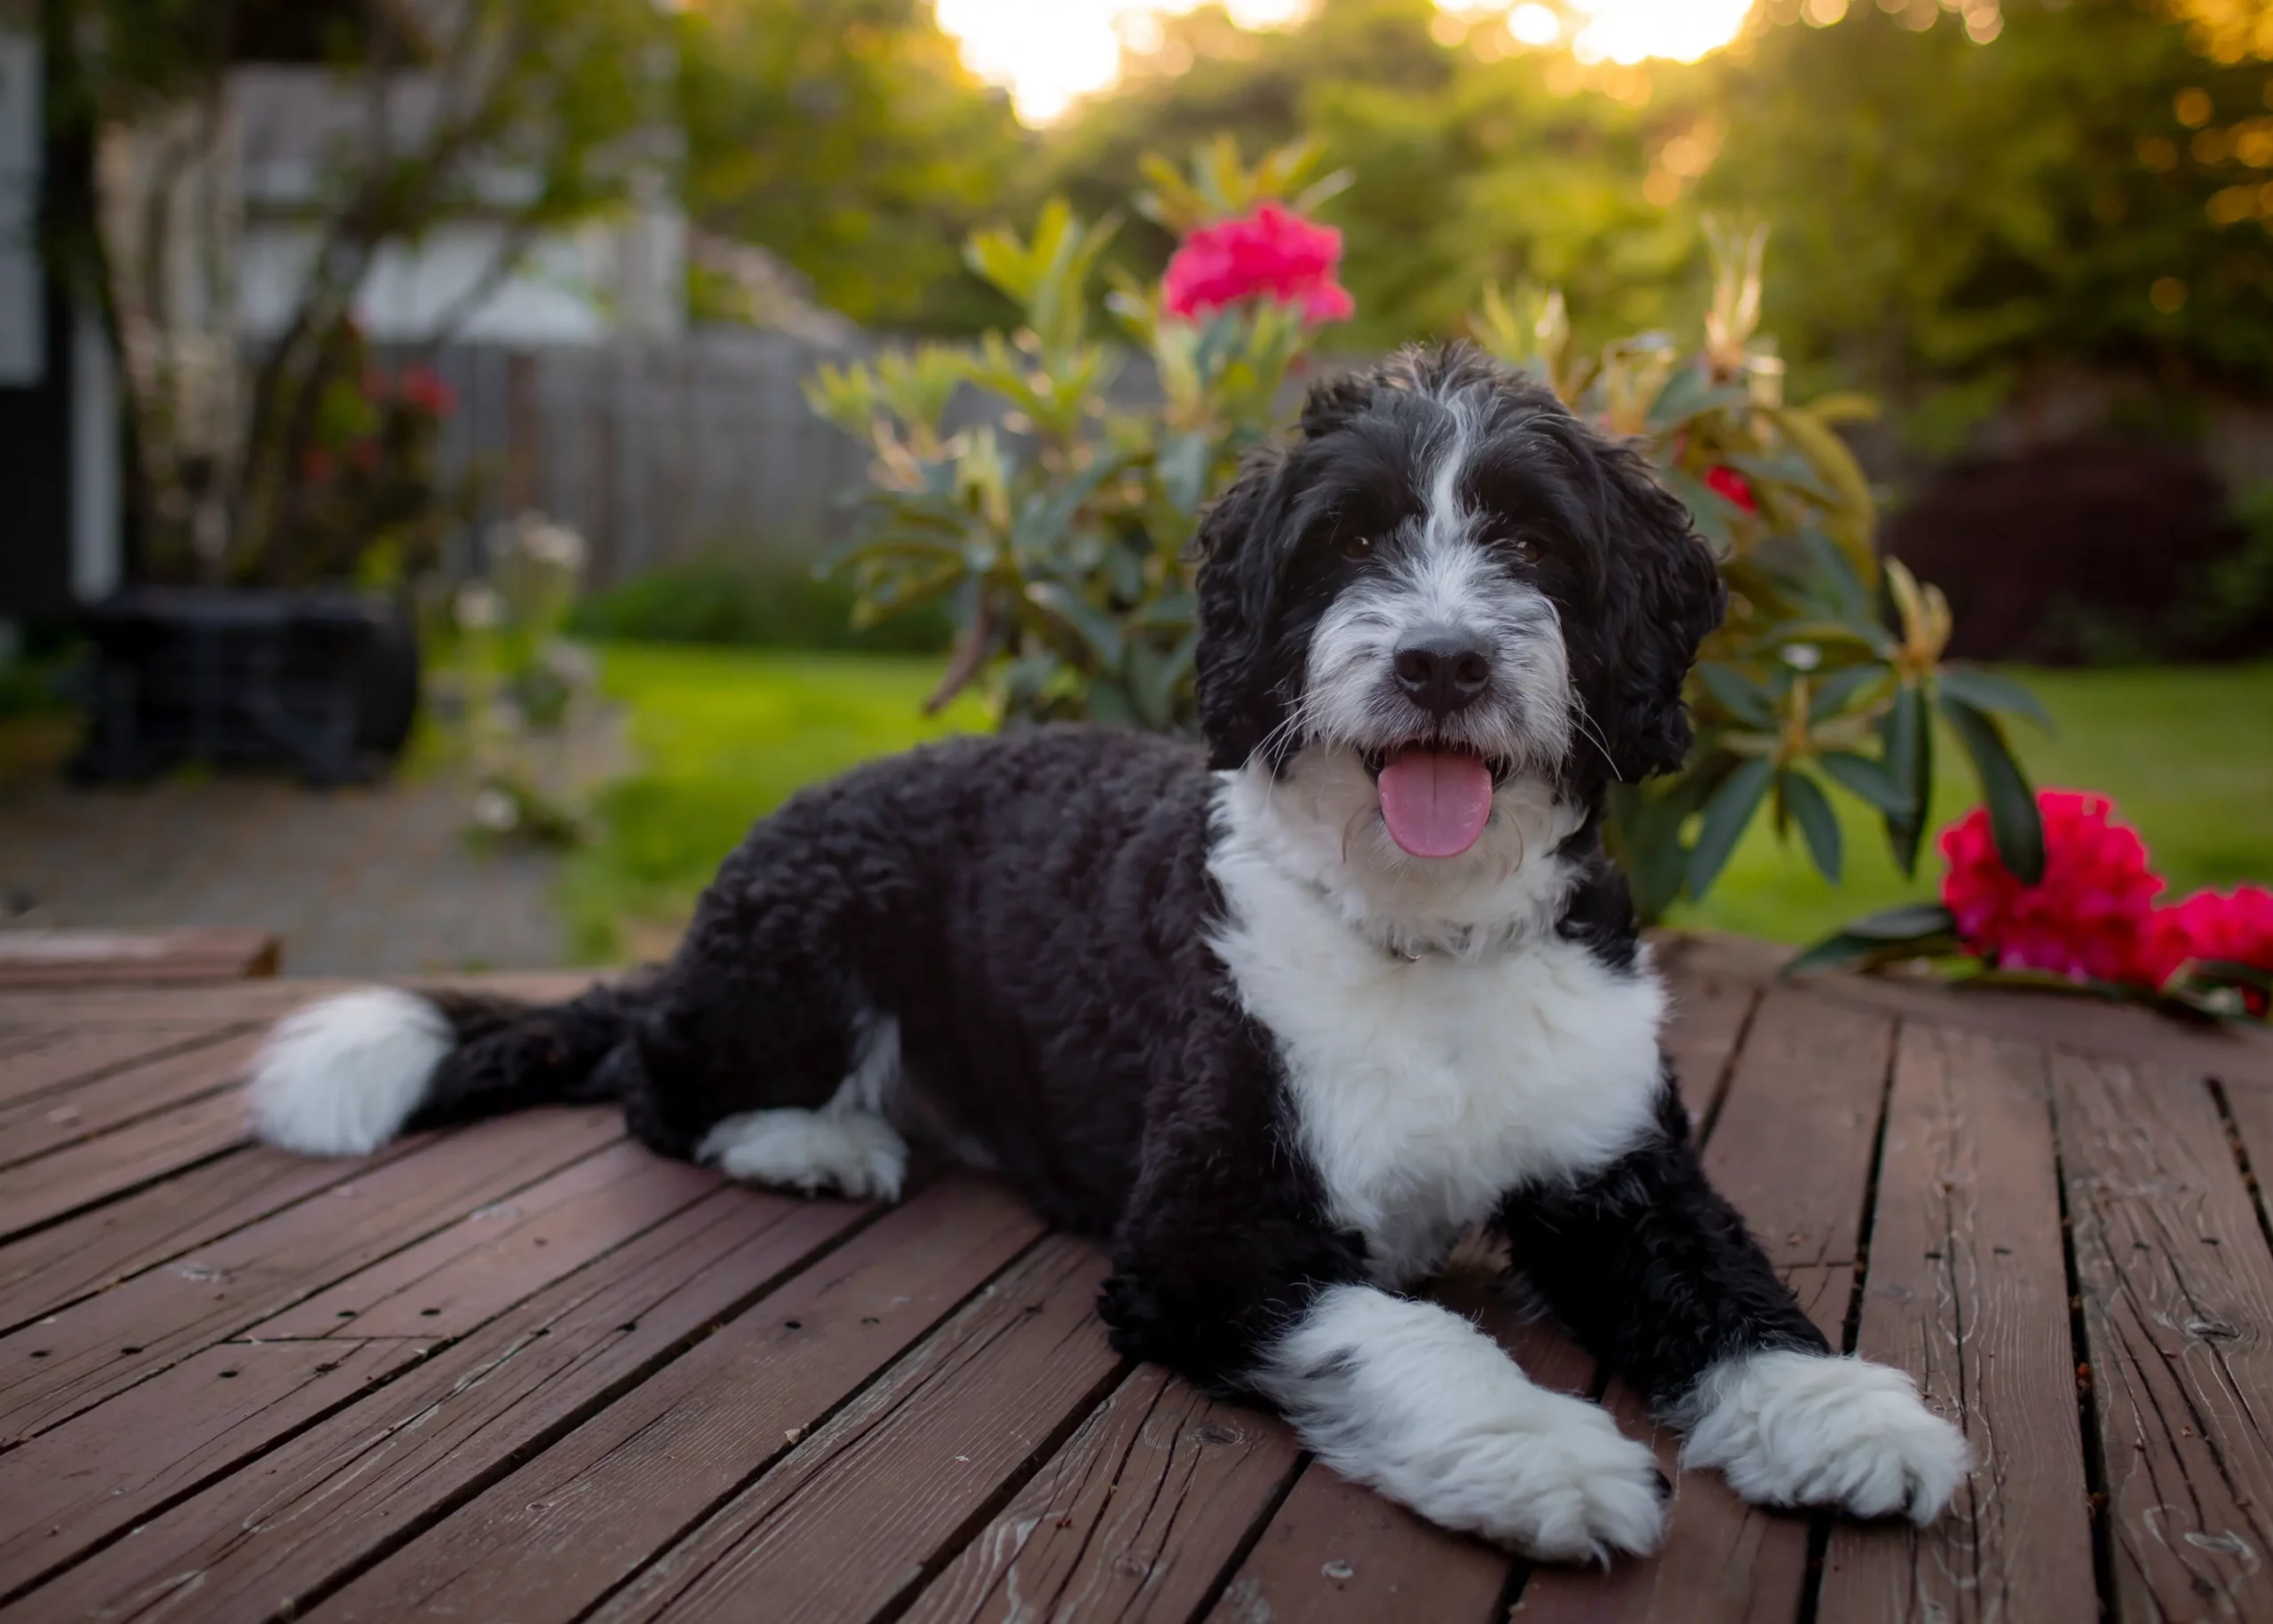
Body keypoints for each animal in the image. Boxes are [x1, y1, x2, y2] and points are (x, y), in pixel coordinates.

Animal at [249, 341, 1963, 1556]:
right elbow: (1410, 1331)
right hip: (799, 949)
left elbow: (1727, 1282)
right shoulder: (1205, 1233)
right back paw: (810, 1141)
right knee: (655, 1081)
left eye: (1535, 547)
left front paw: (1830, 1410)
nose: (1442, 659)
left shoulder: (1618, 1164)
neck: (1429, 936)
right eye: (1349, 545)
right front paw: (1540, 1451)